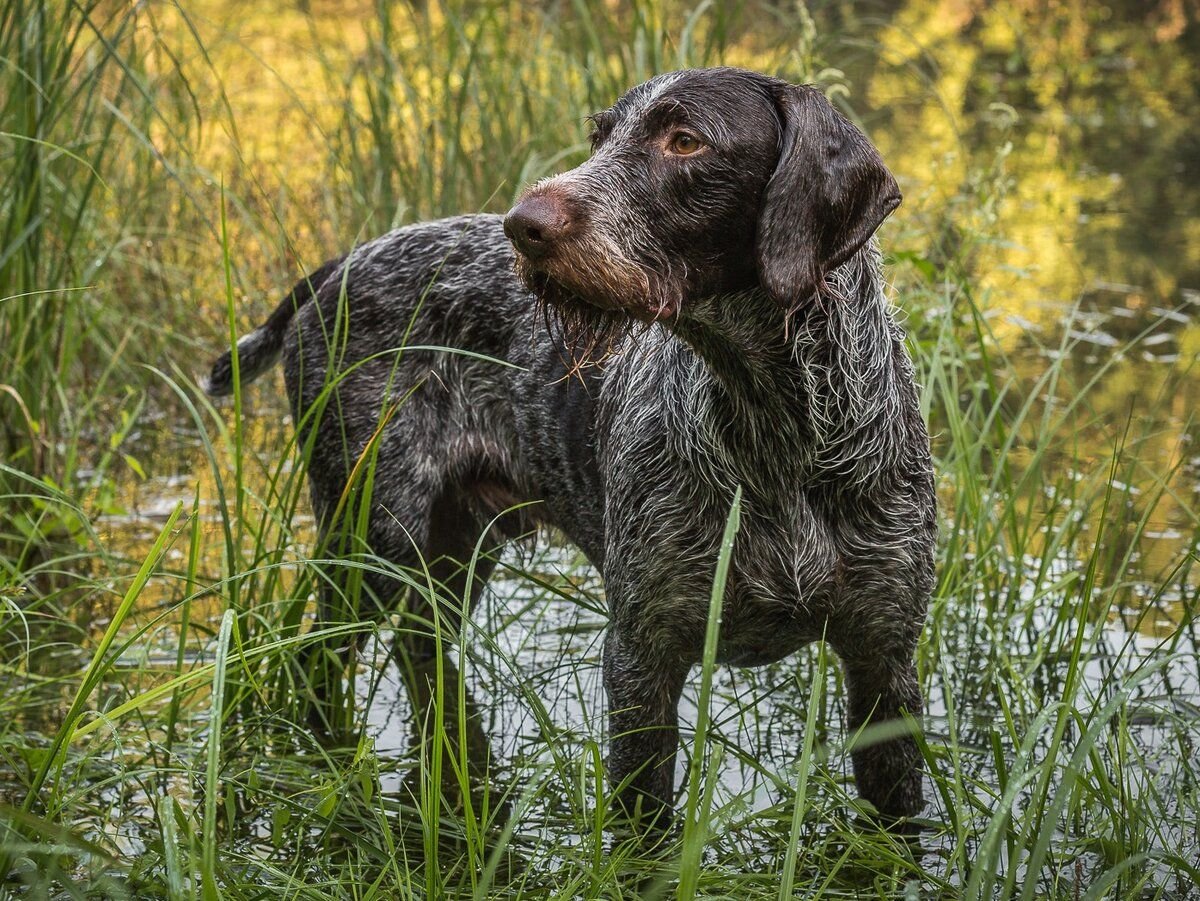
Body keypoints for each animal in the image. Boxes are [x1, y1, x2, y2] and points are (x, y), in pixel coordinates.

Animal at [204, 65, 936, 825]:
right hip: (367, 546)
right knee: (315, 664)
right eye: (600, 135)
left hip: (449, 556)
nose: (522, 225)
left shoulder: (884, 660)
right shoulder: (642, 659)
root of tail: (339, 265)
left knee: (420, 654)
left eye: (685, 141)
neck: (781, 430)